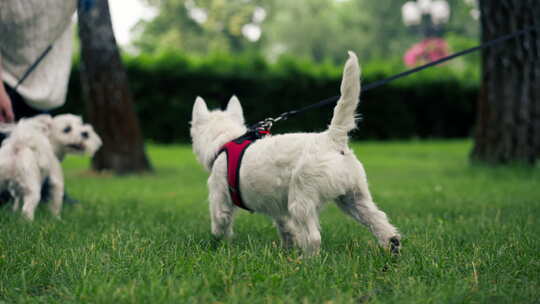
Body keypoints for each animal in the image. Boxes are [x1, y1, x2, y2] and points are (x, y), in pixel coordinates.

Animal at [191, 51, 400, 254]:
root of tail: (332, 139)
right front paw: (287, 248)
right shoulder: (278, 209)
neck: (225, 139)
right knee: (379, 221)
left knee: (313, 237)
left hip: (302, 198)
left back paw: (306, 260)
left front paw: (219, 246)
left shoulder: (219, 195)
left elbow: (220, 223)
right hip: (353, 196)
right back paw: (392, 248)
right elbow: (286, 228)